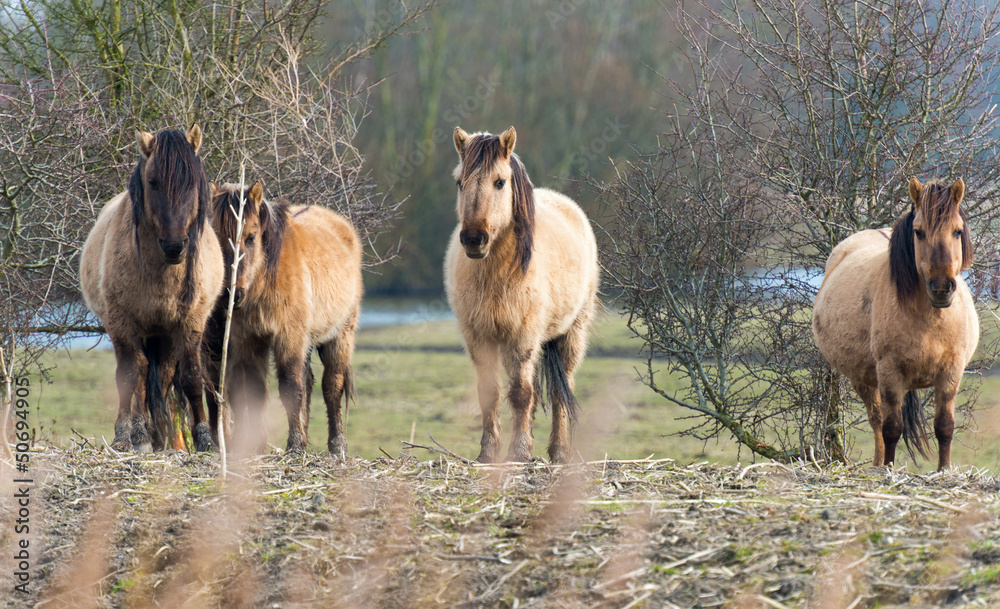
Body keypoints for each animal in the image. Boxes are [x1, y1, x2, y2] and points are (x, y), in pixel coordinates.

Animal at [79, 125, 224, 452]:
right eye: (153, 182)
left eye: (191, 182)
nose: (174, 247)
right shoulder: (121, 324)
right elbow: (129, 377)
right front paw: (126, 434)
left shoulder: (191, 322)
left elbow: (192, 377)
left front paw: (204, 438)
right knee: (141, 373)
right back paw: (140, 433)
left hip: (165, 335)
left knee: (163, 375)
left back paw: (154, 436)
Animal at [207, 181, 363, 457]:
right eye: (217, 236)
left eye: (250, 237)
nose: (231, 293)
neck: (266, 279)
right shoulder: (250, 340)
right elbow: (257, 391)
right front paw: (257, 445)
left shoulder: (289, 338)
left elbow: (291, 388)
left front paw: (295, 445)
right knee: (310, 383)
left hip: (339, 336)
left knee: (332, 386)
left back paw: (337, 446)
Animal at [444, 126, 600, 464]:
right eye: (459, 182)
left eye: (500, 181)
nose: (474, 238)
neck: (496, 273)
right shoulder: (479, 338)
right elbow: (490, 393)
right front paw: (488, 453)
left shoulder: (523, 337)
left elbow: (520, 394)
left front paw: (518, 452)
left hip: (571, 335)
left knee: (560, 389)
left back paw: (558, 453)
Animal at [812, 177, 979, 471]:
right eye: (919, 232)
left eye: (957, 231)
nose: (941, 288)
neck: (930, 319)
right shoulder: (889, 372)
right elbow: (891, 428)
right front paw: (888, 471)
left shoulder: (952, 371)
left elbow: (944, 426)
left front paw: (944, 470)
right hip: (863, 379)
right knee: (877, 420)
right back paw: (879, 465)